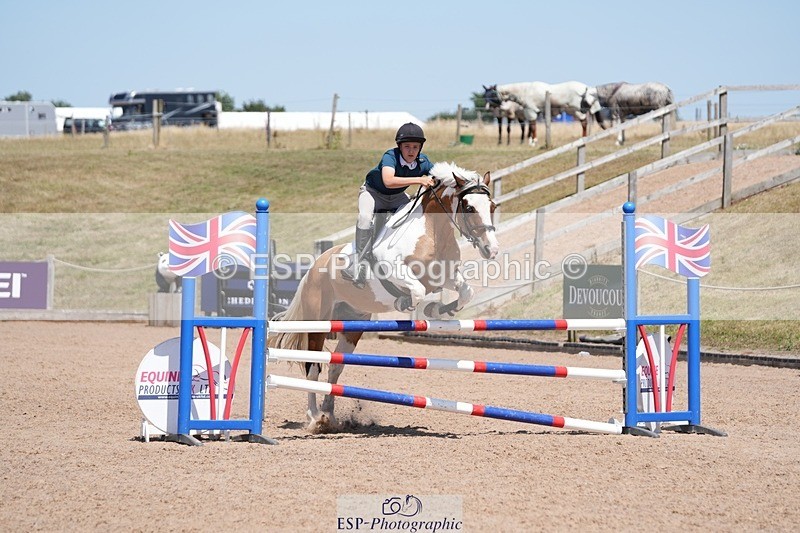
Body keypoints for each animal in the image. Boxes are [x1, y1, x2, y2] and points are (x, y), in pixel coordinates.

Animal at [268, 162, 500, 432]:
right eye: (469, 207)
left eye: (492, 207)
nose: (492, 250)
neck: (432, 230)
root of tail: (315, 266)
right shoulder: (397, 270)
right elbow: (417, 291)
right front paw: (406, 302)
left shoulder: (444, 276)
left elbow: (465, 292)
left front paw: (437, 310)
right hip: (318, 323)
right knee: (313, 367)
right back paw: (315, 418)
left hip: (353, 323)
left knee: (335, 366)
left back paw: (329, 416)